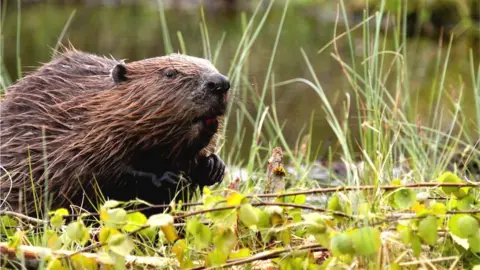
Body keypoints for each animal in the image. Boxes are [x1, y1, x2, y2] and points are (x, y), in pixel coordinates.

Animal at [0, 47, 232, 217]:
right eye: (170, 73)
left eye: (211, 65)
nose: (220, 83)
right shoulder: (75, 137)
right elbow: (98, 173)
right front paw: (167, 177)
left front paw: (214, 166)